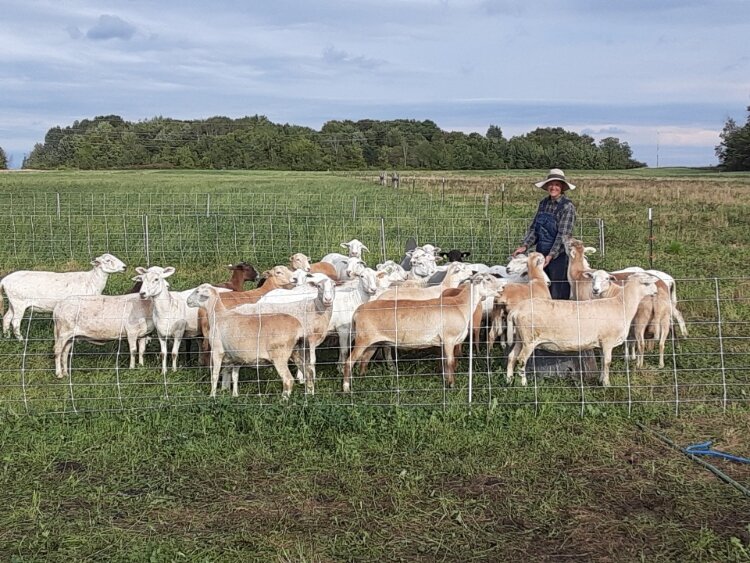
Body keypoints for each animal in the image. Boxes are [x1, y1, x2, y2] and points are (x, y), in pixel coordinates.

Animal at [506, 274, 656, 388]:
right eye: (647, 283)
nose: (656, 292)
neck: (622, 305)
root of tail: (517, 310)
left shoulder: (601, 343)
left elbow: (603, 362)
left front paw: (601, 380)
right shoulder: (608, 341)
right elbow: (607, 362)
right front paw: (607, 384)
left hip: (520, 337)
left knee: (511, 356)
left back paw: (508, 380)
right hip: (529, 339)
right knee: (521, 359)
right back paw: (523, 384)